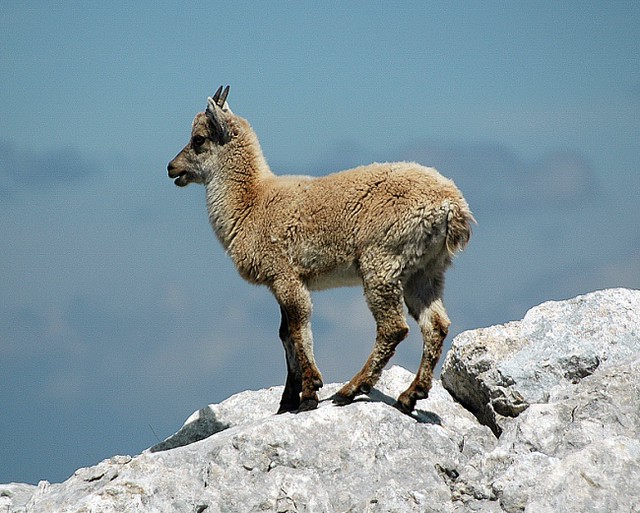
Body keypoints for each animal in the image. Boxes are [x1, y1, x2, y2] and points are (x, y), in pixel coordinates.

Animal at [167, 86, 474, 414]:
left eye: (199, 139)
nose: (172, 168)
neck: (251, 203)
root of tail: (452, 205)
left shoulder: (284, 275)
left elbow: (298, 326)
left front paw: (310, 391)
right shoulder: (281, 283)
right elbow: (284, 333)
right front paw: (288, 400)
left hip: (382, 261)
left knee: (393, 327)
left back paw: (351, 389)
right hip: (426, 269)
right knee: (436, 325)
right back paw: (410, 394)